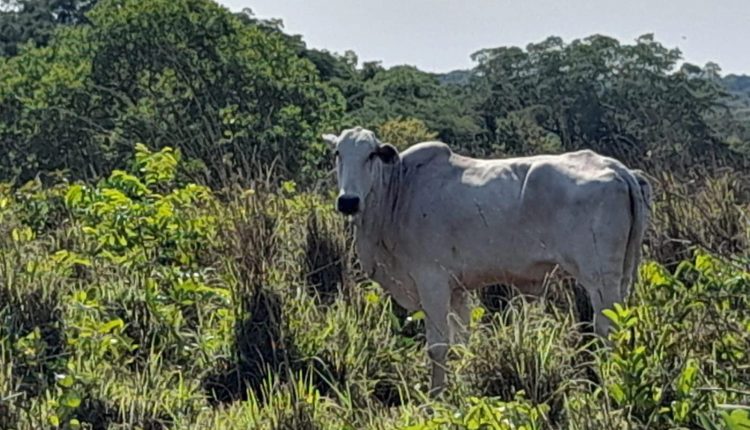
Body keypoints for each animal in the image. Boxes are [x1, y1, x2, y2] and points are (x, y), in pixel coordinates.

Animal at [324, 126, 652, 394]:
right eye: (338, 153)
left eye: (371, 155)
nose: (348, 201)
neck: (399, 193)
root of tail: (618, 168)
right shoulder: (456, 289)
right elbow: (461, 342)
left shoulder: (432, 281)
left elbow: (438, 347)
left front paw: (436, 397)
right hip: (620, 278)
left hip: (600, 279)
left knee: (607, 329)